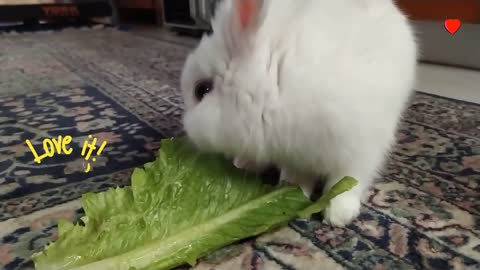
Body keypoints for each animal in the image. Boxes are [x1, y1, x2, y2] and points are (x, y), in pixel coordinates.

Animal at [180, 0, 416, 227]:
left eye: (201, 90)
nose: (188, 131)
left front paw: (338, 215)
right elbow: (297, 178)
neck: (272, 83)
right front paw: (293, 193)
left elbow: (348, 181)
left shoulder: (357, 150)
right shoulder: (296, 156)